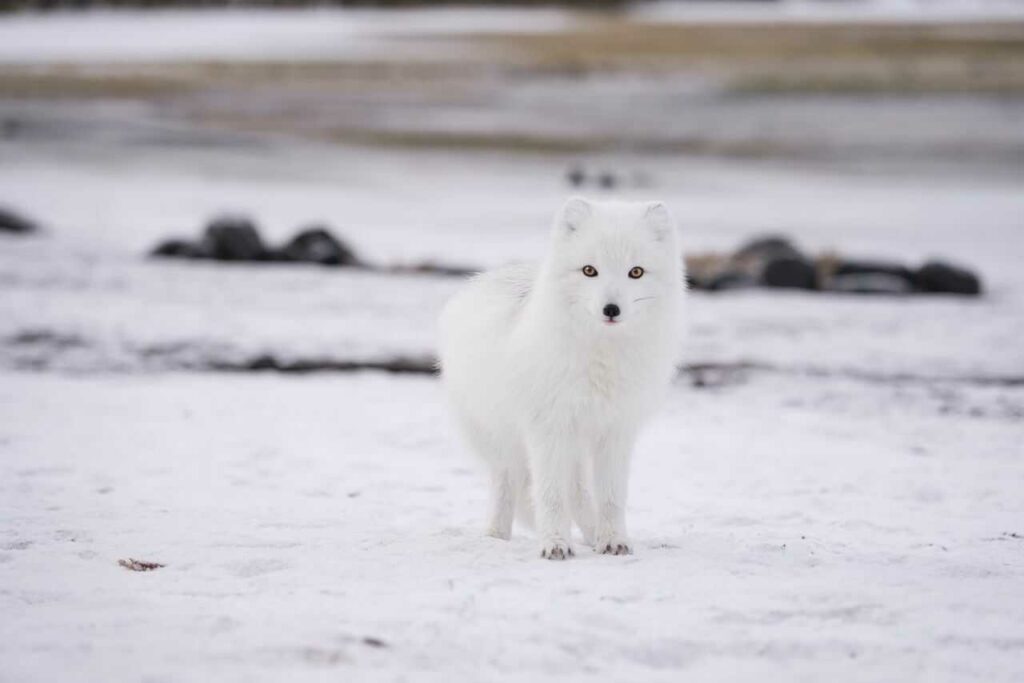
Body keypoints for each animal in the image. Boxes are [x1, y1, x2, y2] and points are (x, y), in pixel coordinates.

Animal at [436, 197, 684, 561]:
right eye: (589, 270)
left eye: (635, 272)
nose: (611, 309)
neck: (601, 359)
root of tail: (485, 278)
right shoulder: (547, 428)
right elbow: (551, 495)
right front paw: (554, 544)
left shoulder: (616, 431)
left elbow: (611, 497)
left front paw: (613, 540)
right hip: (504, 441)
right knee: (507, 484)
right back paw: (496, 537)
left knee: (579, 493)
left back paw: (593, 535)